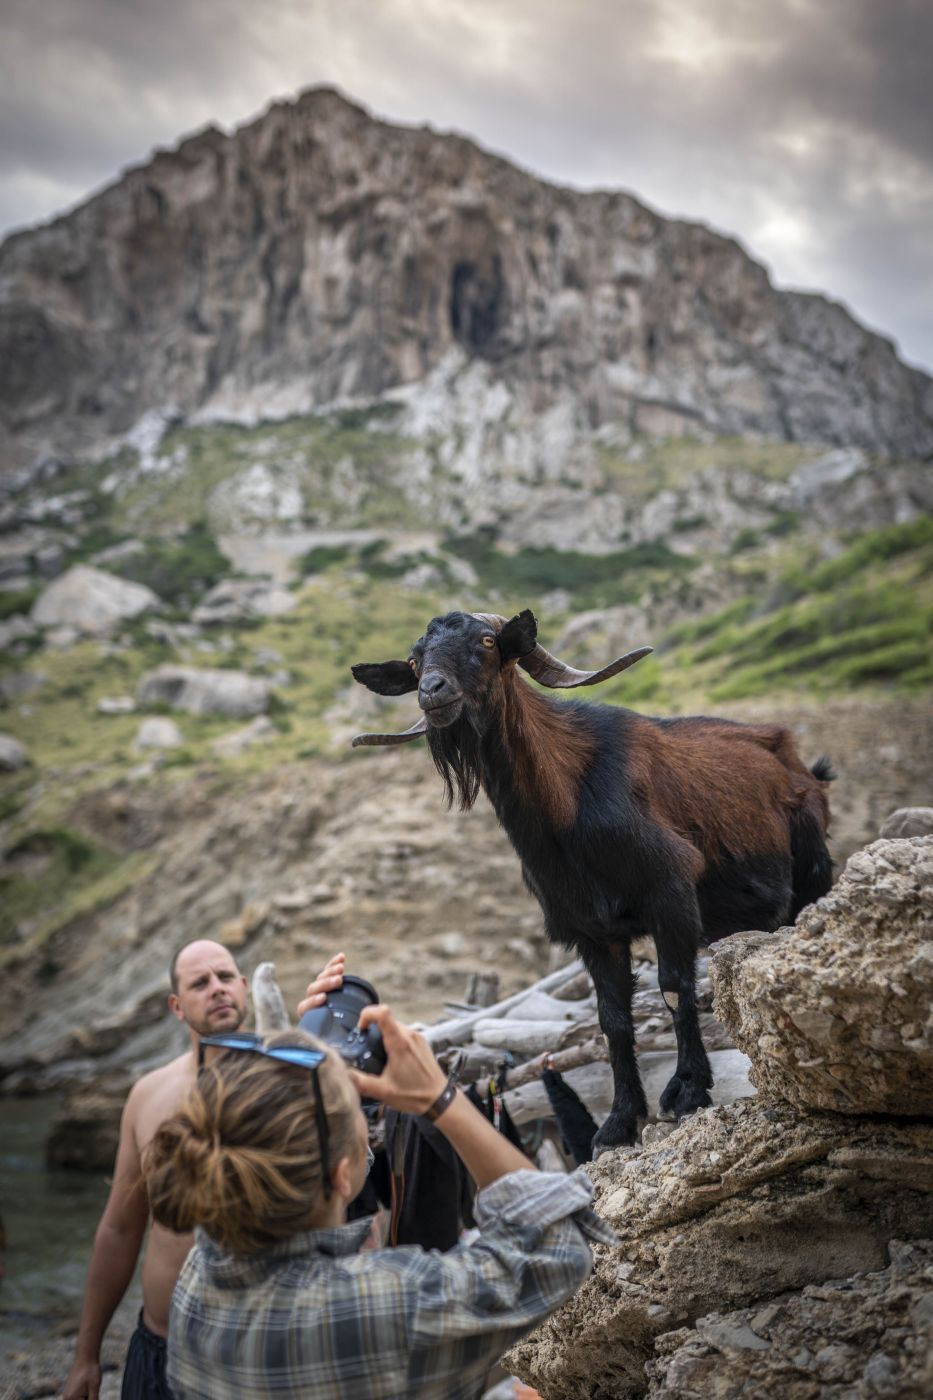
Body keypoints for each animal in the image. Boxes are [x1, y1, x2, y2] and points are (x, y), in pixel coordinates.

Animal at [351, 609, 833, 1153]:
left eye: (488, 641)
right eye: (415, 660)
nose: (432, 691)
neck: (567, 802)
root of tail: (798, 763)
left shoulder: (671, 893)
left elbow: (674, 988)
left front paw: (687, 1091)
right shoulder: (594, 932)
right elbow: (613, 1021)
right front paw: (619, 1122)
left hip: (812, 875)